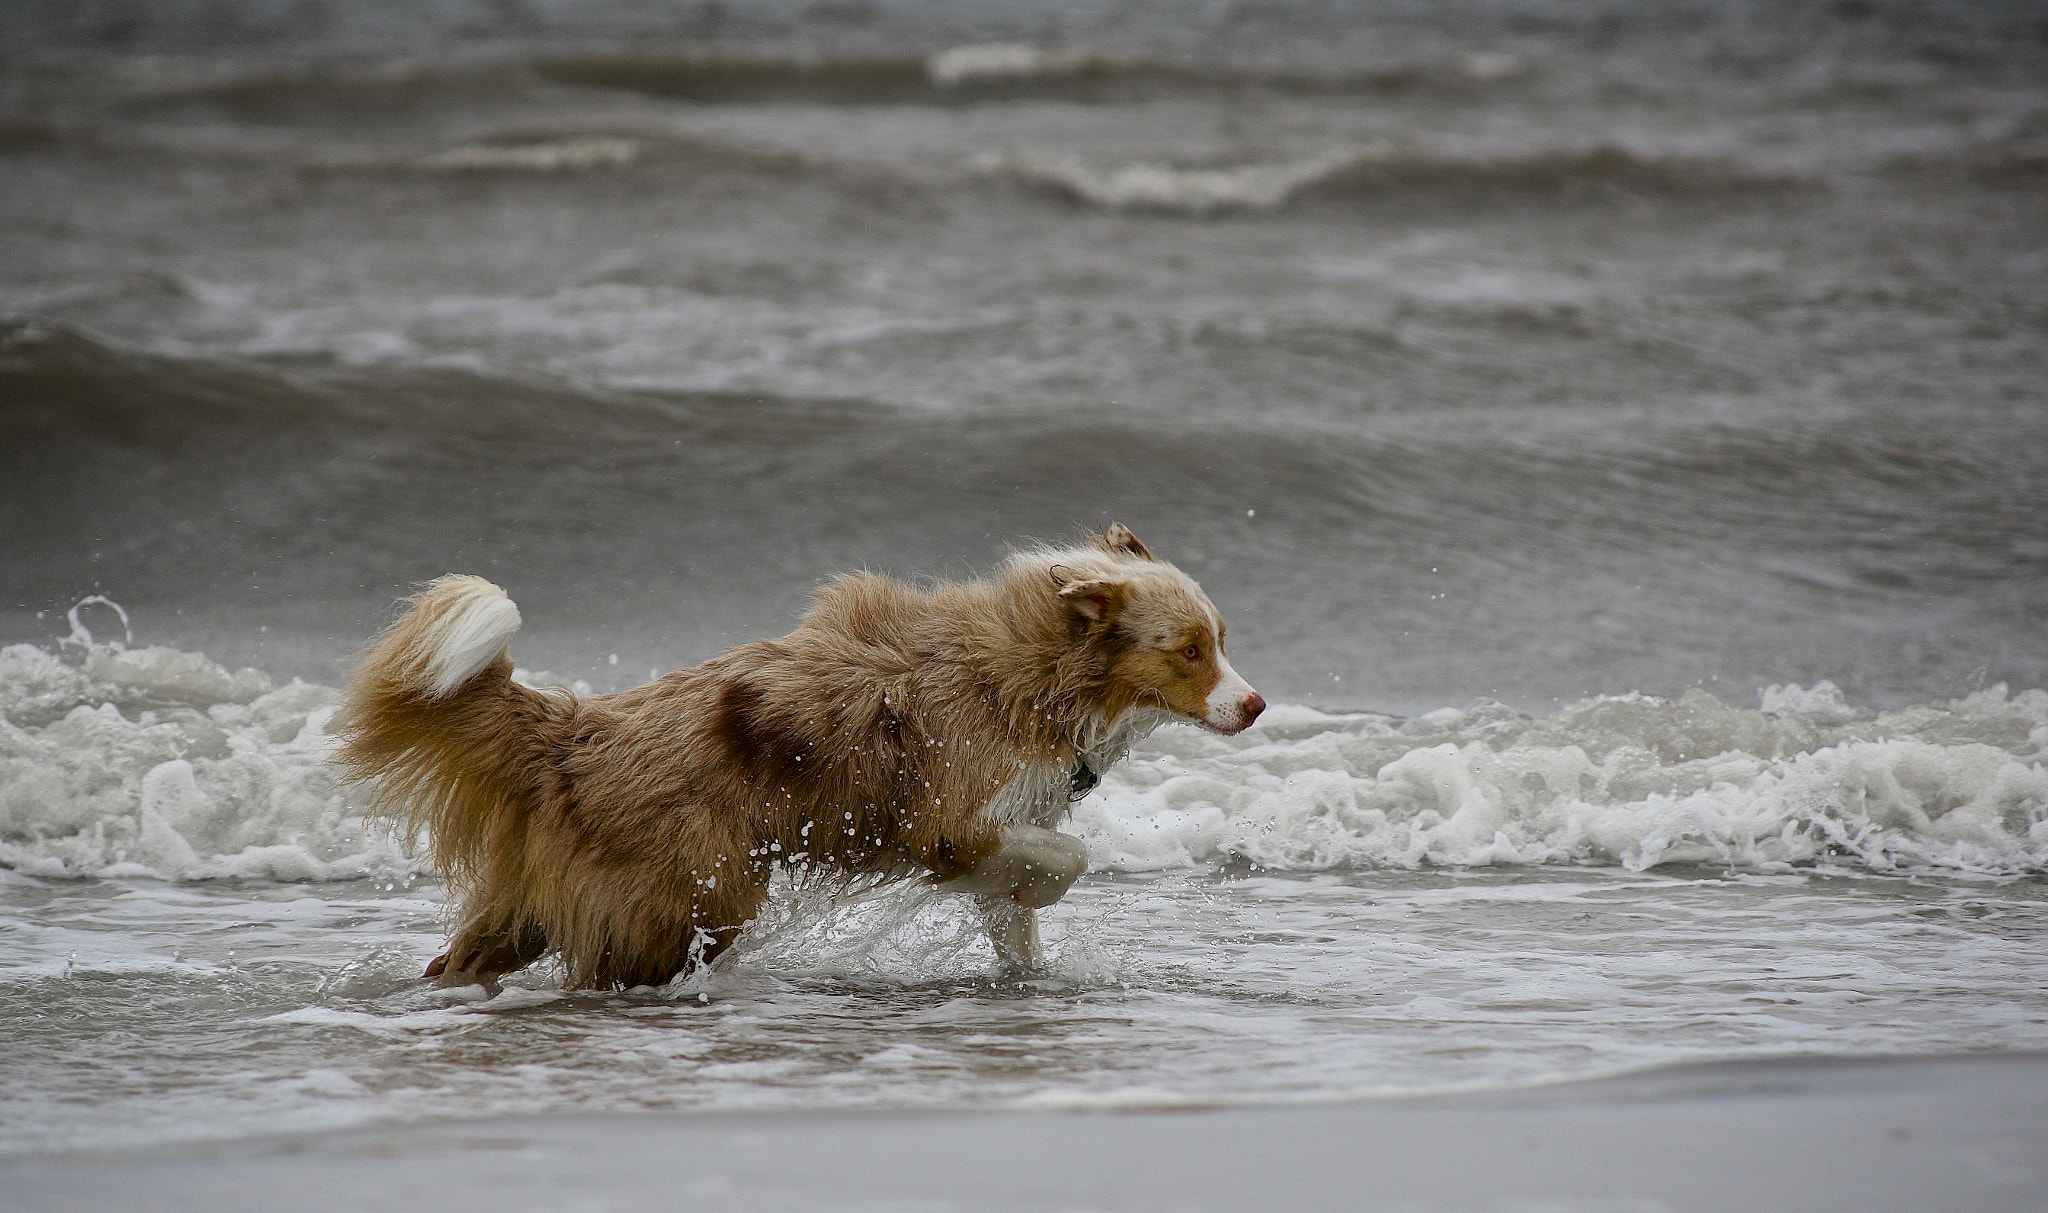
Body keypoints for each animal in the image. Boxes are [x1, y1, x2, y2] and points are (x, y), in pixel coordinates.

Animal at [333, 520, 1253, 983]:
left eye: (1222, 637)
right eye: (1188, 649)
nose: (1254, 703)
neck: (1036, 672)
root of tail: (571, 728)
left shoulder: (1012, 812)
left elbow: (1019, 913)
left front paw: (1029, 978)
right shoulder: (952, 819)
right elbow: (1064, 856)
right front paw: (1050, 890)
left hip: (553, 895)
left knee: (462, 956)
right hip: (696, 891)